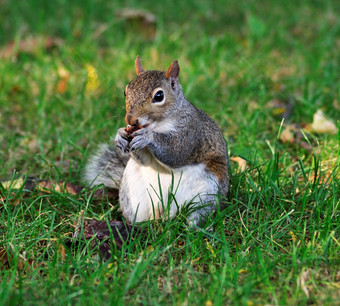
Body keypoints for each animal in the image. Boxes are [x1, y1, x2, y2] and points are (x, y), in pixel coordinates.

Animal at [83, 56, 230, 226]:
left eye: (159, 96)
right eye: (125, 92)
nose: (130, 120)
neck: (157, 124)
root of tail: (165, 213)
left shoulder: (191, 132)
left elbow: (176, 152)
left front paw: (147, 137)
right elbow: (145, 160)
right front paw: (119, 135)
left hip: (207, 194)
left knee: (197, 215)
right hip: (131, 192)